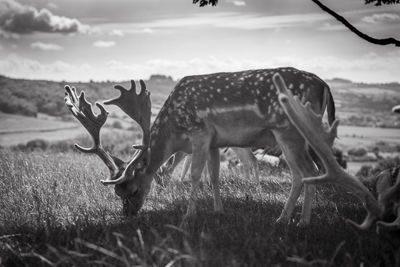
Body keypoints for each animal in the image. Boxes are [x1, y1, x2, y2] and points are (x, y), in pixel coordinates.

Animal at [64, 67, 336, 226]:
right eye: (116, 193)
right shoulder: (215, 142)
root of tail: (324, 85)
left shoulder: (200, 133)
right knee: (303, 173)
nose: (128, 215)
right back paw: (289, 218)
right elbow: (214, 175)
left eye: (133, 189)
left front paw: (189, 215)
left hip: (289, 129)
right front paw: (218, 211)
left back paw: (296, 221)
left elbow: (195, 174)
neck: (175, 132)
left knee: (307, 171)